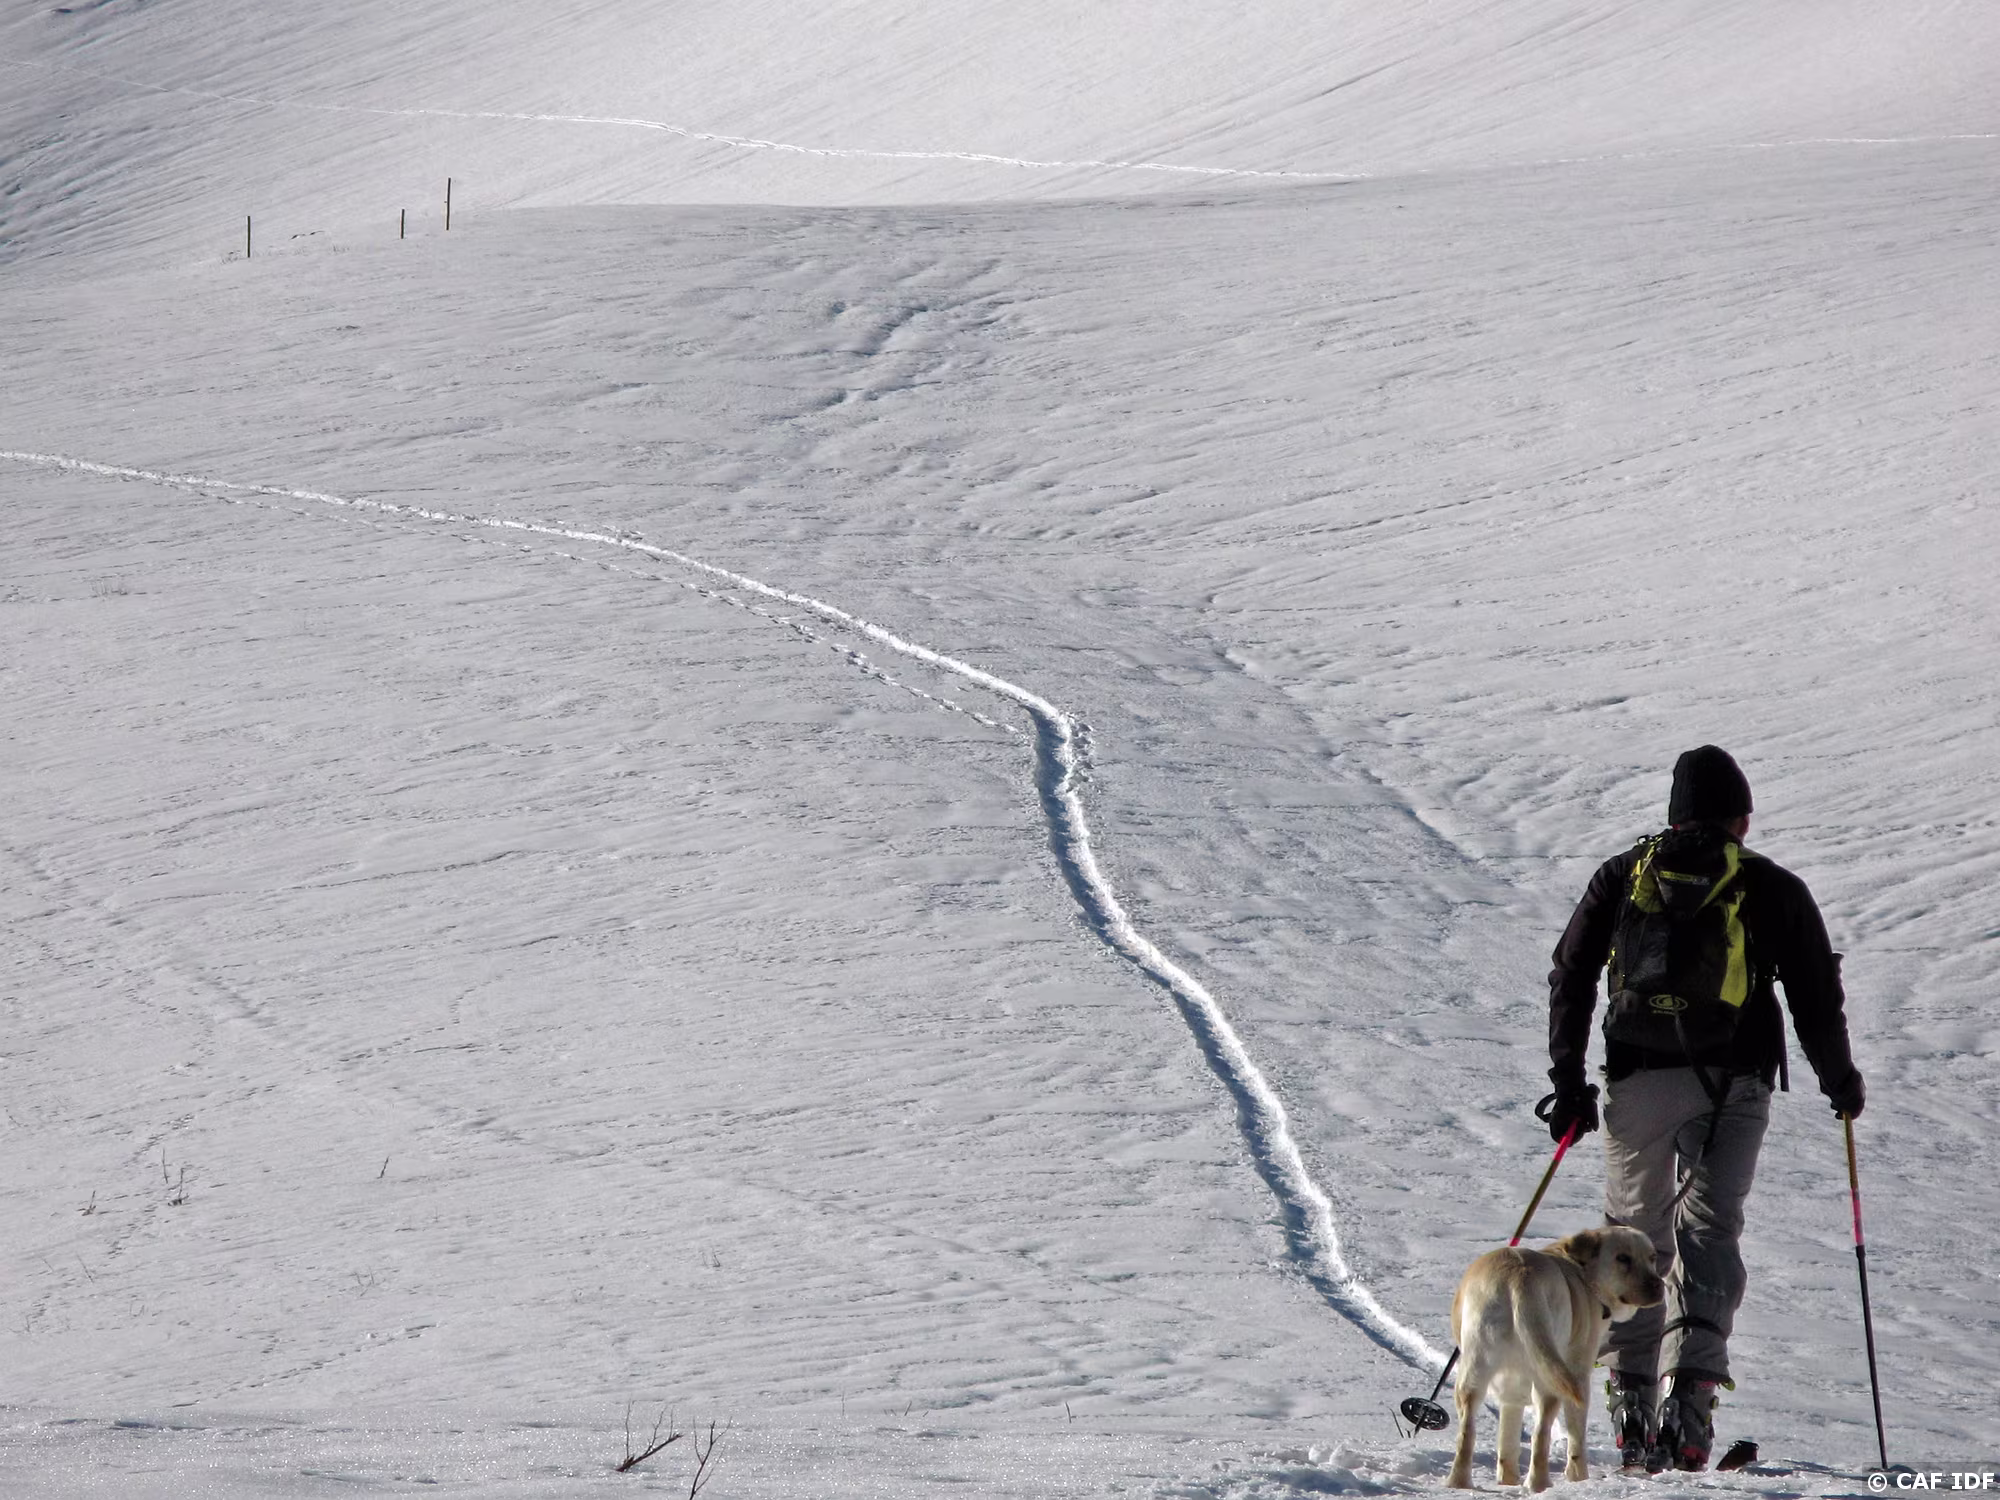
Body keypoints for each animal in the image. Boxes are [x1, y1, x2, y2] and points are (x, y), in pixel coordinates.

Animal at [1445, 1225, 1665, 1491]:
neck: (1583, 1274)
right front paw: (1578, 1478)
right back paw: (1540, 1484)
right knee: (1541, 1434)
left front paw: (1508, 1481)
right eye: (1623, 1258)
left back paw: (1459, 1483)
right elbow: (1576, 1435)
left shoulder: (1511, 1392)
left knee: (1467, 1430)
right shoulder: (1579, 1372)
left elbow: (1508, 1440)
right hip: (1550, 1380)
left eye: (1652, 1257)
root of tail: (1517, 1278)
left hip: (1475, 1370)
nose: (1658, 1285)